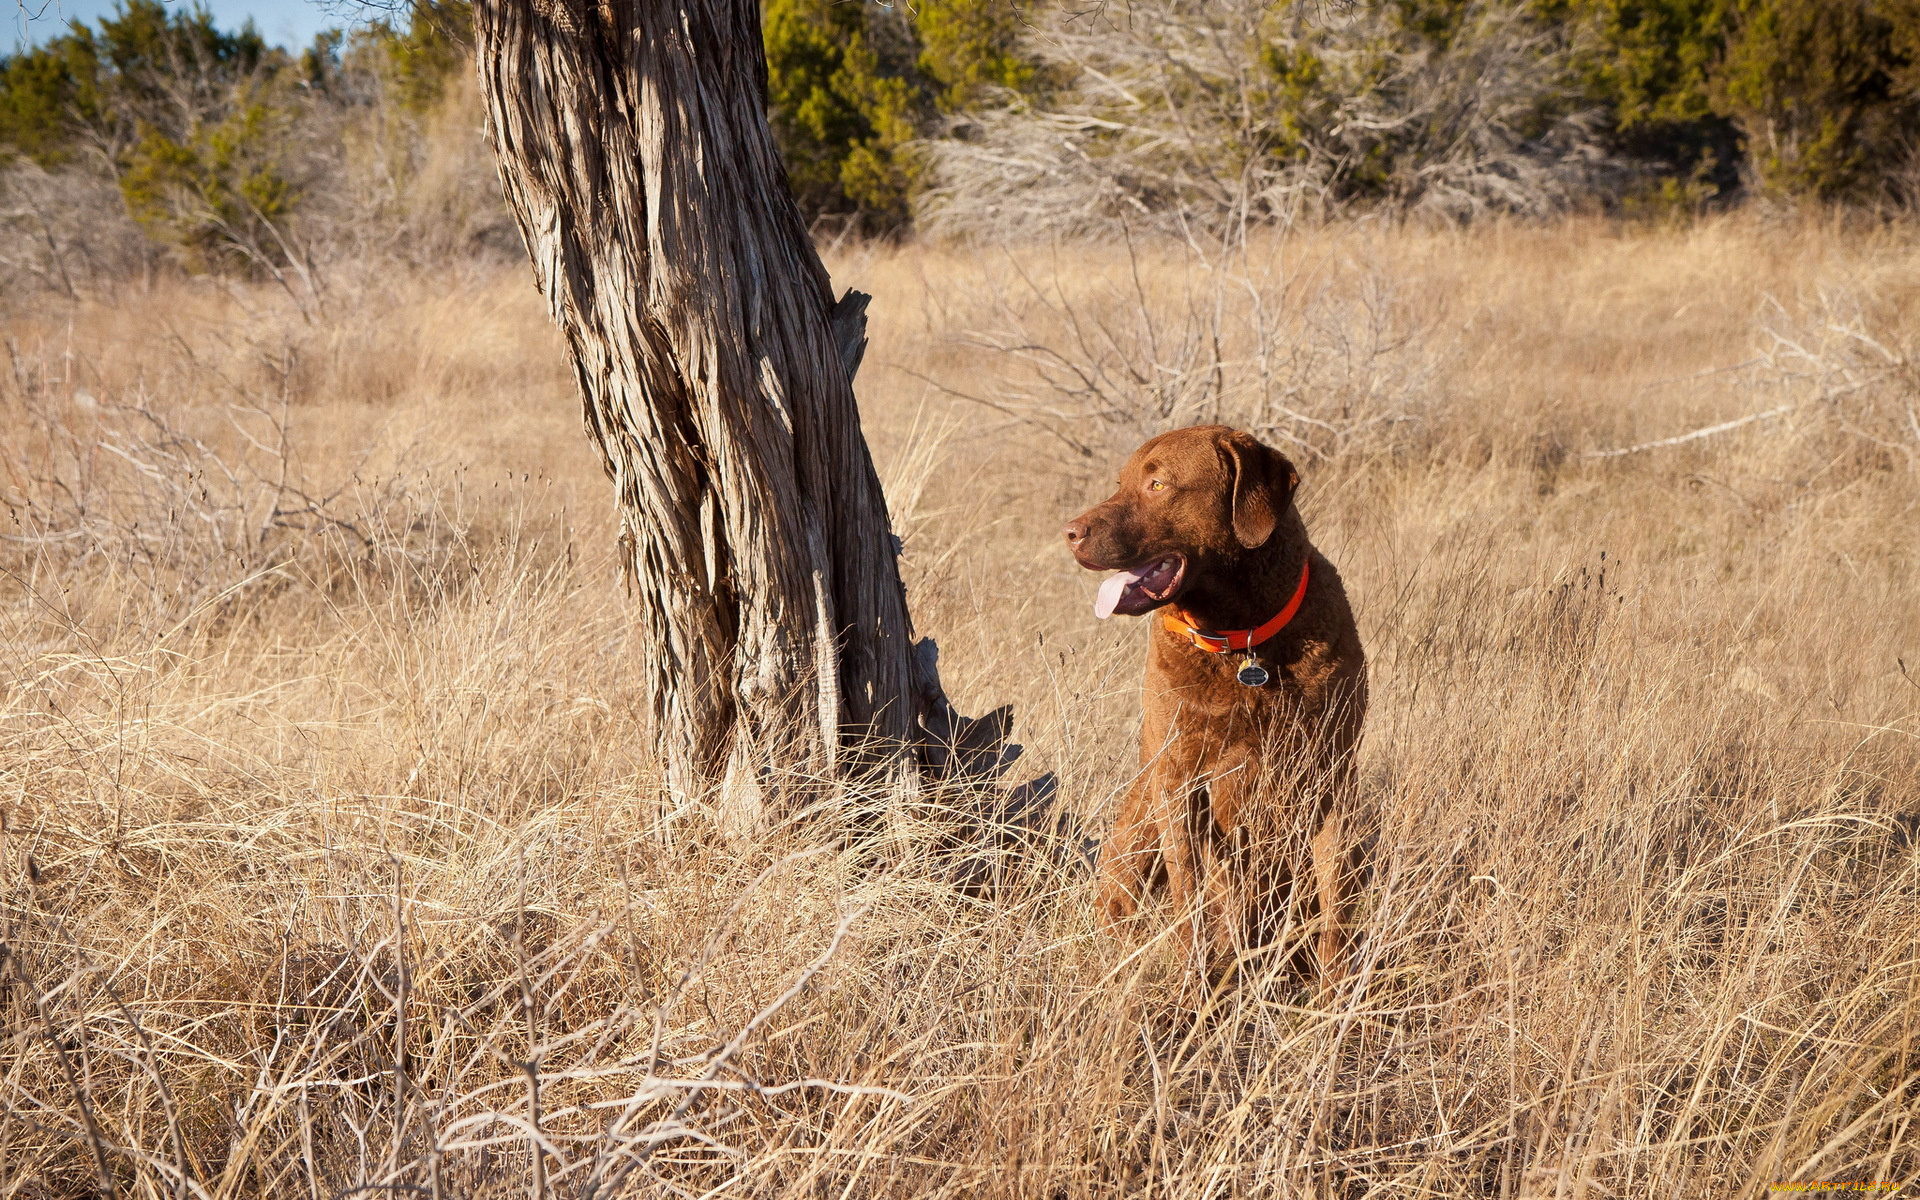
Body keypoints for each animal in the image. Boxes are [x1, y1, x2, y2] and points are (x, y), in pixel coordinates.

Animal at [1067, 426, 1367, 979]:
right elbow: (1191, 898)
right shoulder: (1178, 782)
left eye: (1158, 484)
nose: (1070, 533)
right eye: (1120, 483)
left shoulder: (1332, 773)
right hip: (1137, 832)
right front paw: (1194, 979)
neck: (1241, 640)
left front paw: (1337, 991)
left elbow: (1337, 903)